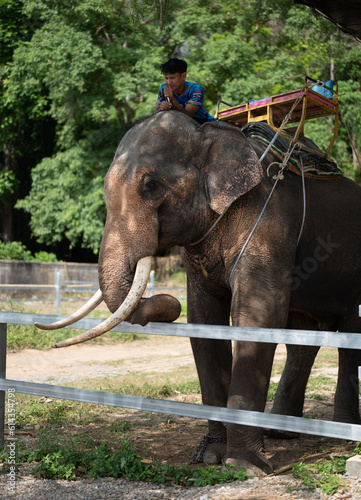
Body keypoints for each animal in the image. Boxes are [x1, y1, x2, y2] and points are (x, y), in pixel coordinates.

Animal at [35, 111, 360, 474]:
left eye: (151, 185)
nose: (167, 302)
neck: (214, 134)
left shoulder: (270, 223)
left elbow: (258, 317)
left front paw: (243, 465)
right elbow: (205, 322)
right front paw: (210, 457)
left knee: (349, 335)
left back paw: (342, 434)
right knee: (303, 338)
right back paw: (281, 433)